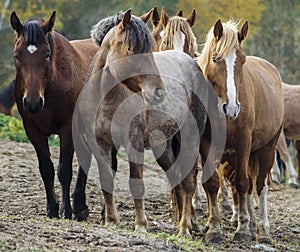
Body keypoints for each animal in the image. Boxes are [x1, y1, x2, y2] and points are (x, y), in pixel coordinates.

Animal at [9, 10, 97, 219]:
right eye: (17, 55)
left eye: (47, 54)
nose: (33, 103)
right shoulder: (32, 130)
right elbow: (46, 169)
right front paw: (52, 208)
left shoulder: (68, 129)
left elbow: (64, 170)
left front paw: (66, 210)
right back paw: (80, 205)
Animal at [72, 8, 210, 236]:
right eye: (131, 50)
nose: (159, 91)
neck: (107, 100)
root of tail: (192, 63)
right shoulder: (101, 144)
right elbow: (106, 180)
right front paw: (111, 221)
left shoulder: (133, 142)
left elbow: (136, 184)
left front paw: (141, 225)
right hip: (162, 145)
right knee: (176, 179)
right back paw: (183, 224)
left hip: (190, 139)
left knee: (189, 182)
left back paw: (184, 229)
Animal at [197, 18, 284, 243]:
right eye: (216, 59)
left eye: (242, 61)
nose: (231, 108)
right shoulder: (207, 145)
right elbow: (212, 183)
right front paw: (214, 228)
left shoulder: (244, 142)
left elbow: (243, 184)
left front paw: (242, 229)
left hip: (267, 149)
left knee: (260, 186)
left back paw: (262, 231)